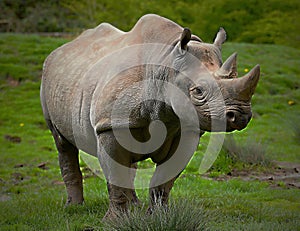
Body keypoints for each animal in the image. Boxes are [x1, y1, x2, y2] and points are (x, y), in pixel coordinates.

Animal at [40, 14, 260, 217]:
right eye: (198, 91)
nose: (240, 116)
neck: (166, 61)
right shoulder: (109, 125)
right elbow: (116, 178)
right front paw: (116, 221)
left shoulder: (186, 128)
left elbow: (163, 180)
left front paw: (158, 217)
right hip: (49, 80)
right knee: (62, 143)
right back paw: (73, 207)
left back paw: (134, 205)